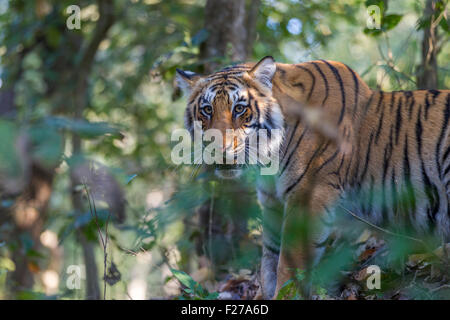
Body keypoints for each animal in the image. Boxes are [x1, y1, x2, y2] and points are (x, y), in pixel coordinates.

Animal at [176, 56, 450, 298]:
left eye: (239, 109)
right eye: (207, 110)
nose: (216, 148)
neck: (268, 158)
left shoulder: (308, 194)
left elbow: (289, 263)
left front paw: (285, 296)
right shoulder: (273, 203)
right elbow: (269, 260)